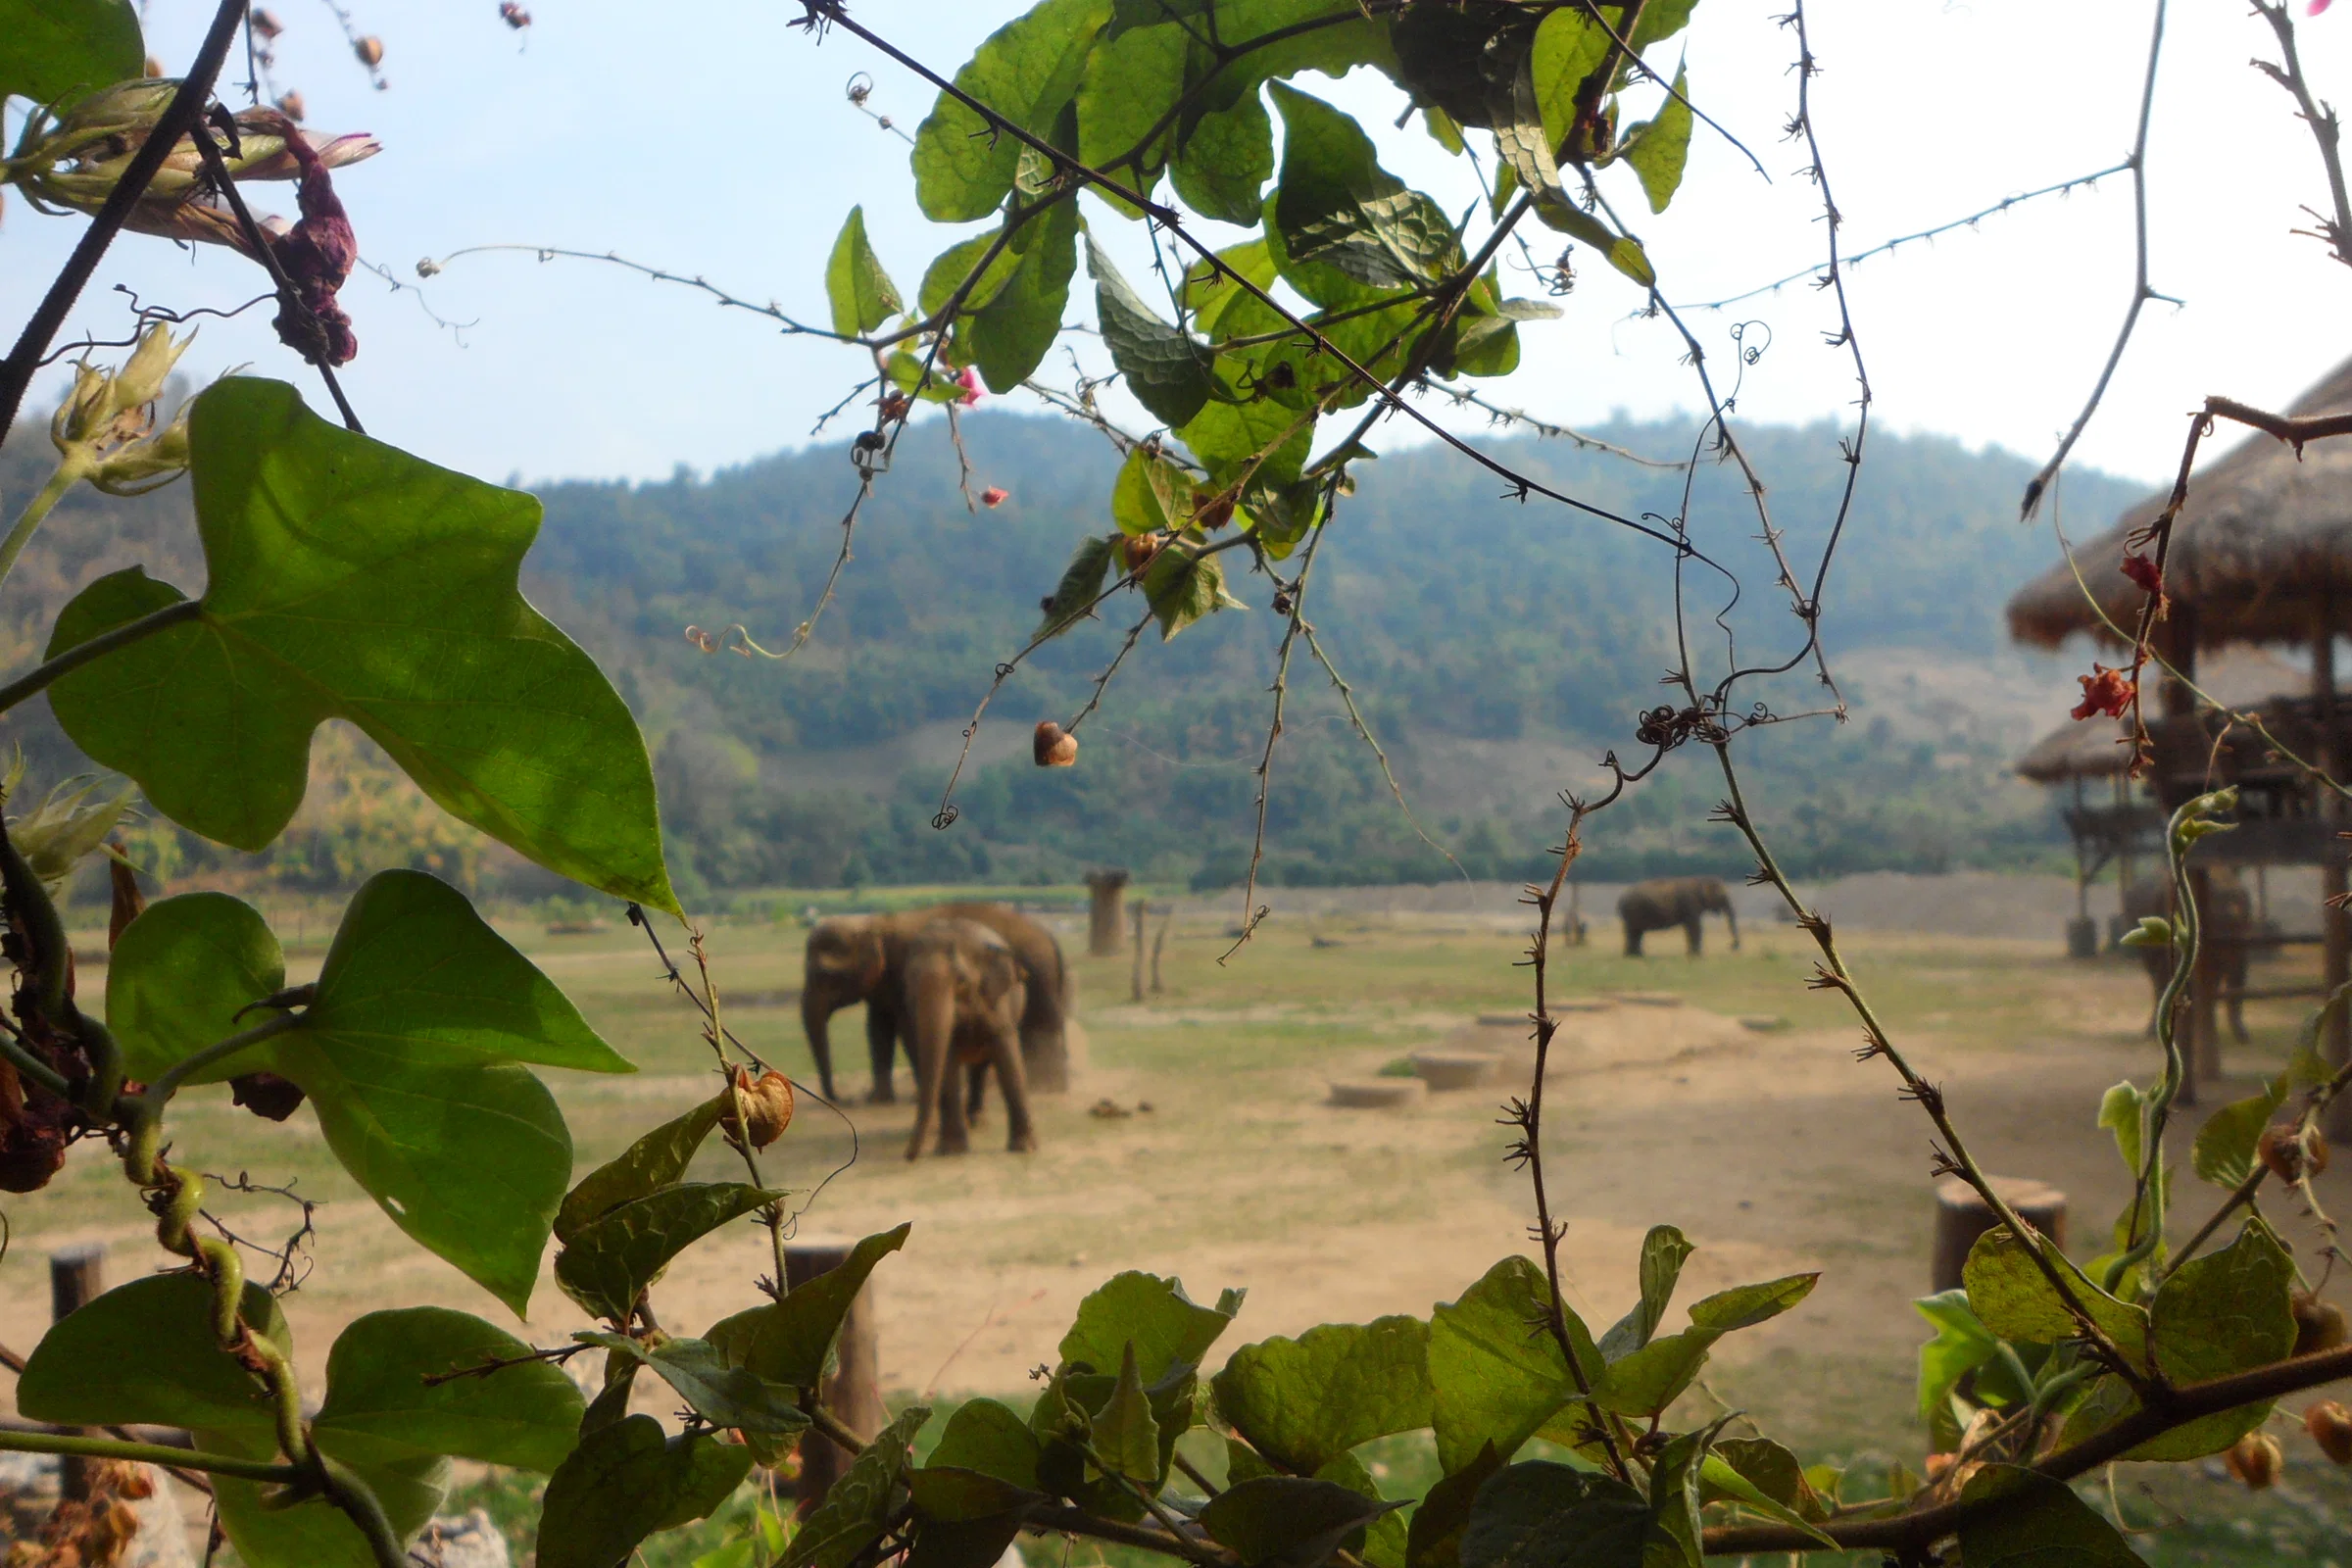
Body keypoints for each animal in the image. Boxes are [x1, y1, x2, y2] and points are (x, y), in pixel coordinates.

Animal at [800, 902, 1069, 1105]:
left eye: (825, 976)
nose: (844, 1099)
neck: (873, 924)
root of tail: (1051, 938)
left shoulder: (903, 973)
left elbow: (909, 1027)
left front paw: (921, 1095)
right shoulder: (884, 985)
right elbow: (878, 1028)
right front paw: (877, 1100)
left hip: (1038, 977)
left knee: (1039, 1029)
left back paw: (1042, 1086)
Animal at [902, 918, 1036, 1158]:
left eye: (962, 981)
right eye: (909, 982)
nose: (908, 1156)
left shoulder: (999, 1002)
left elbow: (1009, 1058)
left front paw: (1024, 1148)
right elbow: (948, 1063)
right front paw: (951, 1151)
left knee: (981, 1067)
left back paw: (977, 1121)